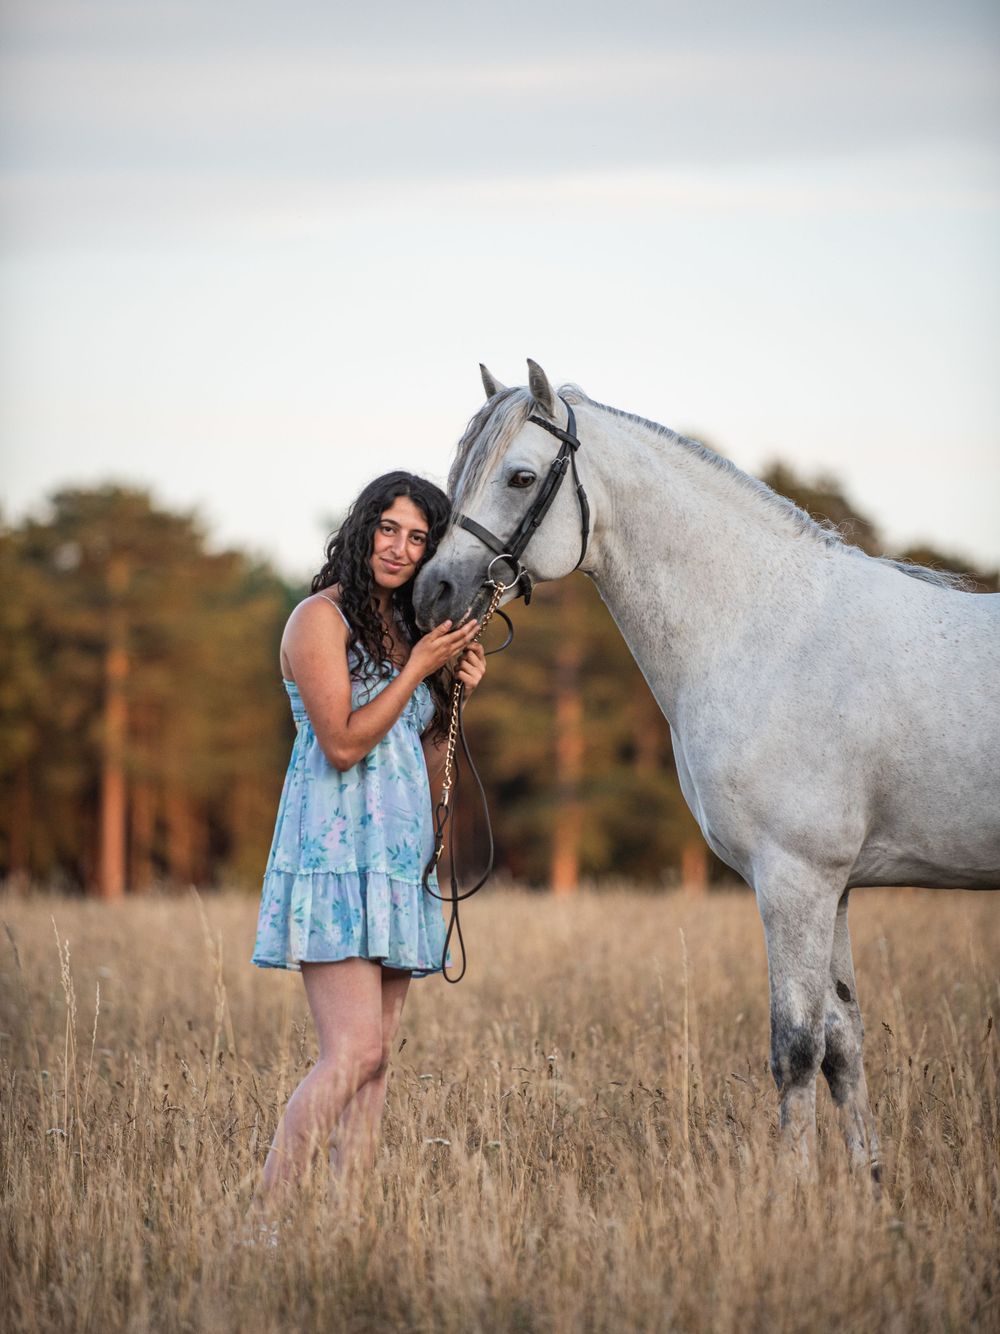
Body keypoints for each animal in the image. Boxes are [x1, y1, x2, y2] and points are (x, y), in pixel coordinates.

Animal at [413, 359, 1000, 1179]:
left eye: (521, 476)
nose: (430, 594)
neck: (767, 628)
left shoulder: (795, 878)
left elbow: (796, 1048)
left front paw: (792, 1191)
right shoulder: (836, 887)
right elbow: (844, 1045)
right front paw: (868, 1187)